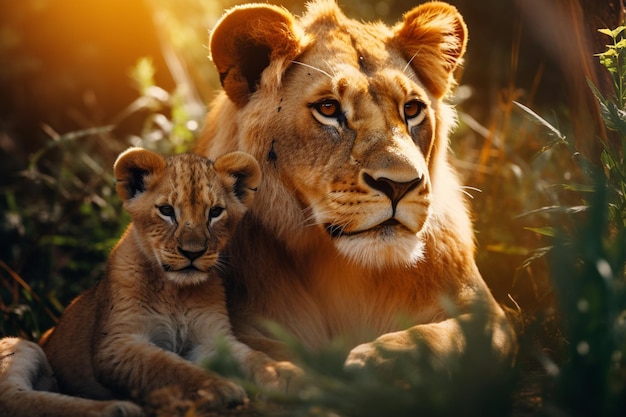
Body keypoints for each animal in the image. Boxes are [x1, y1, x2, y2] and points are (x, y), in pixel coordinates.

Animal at [197, 0, 516, 368]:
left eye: (412, 109)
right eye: (328, 107)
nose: (400, 185)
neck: (345, 269)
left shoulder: (489, 316)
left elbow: (441, 339)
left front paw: (377, 361)